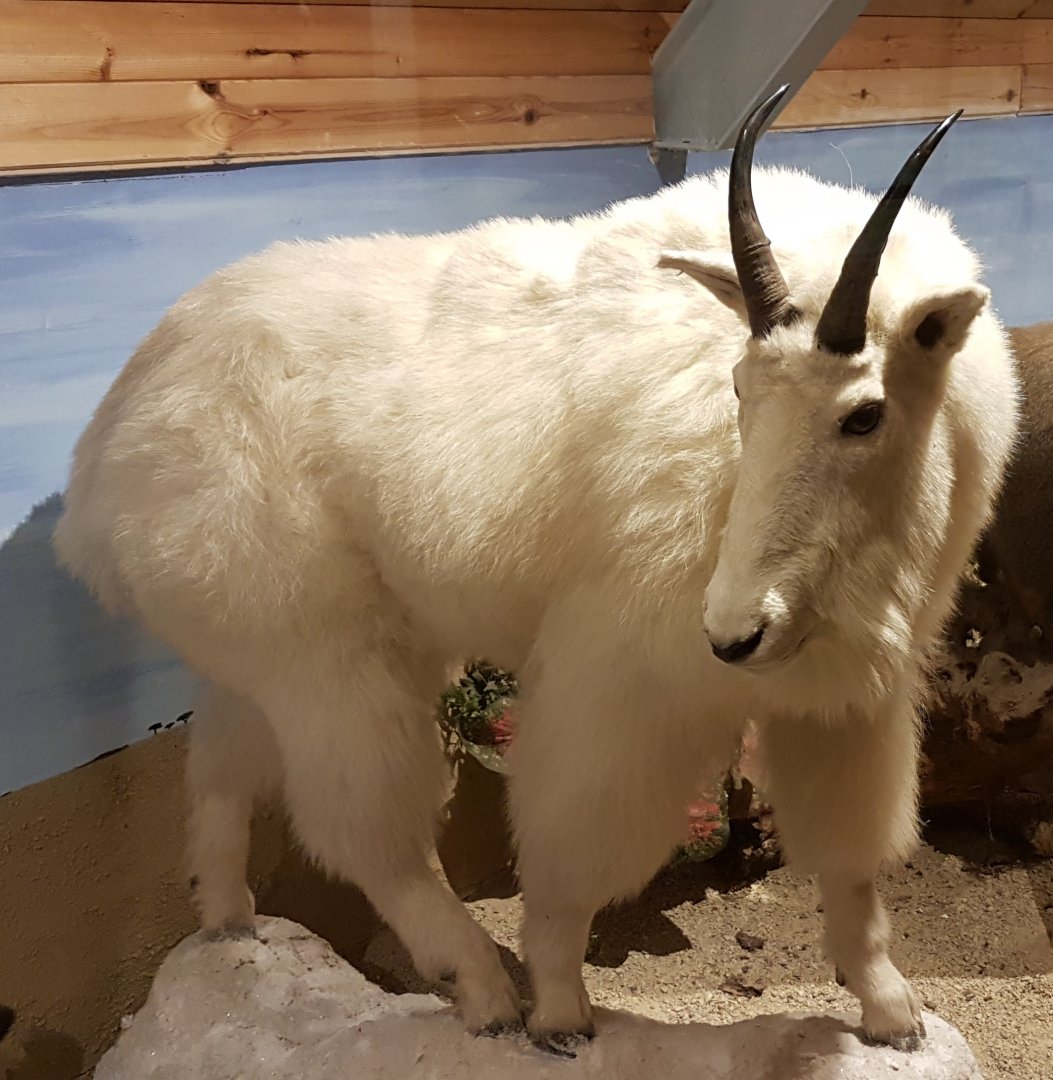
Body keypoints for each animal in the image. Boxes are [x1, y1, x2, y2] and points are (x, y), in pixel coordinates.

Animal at [53, 88, 1018, 1052]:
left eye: (863, 414)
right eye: (740, 390)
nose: (734, 632)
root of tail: (107, 448)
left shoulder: (848, 700)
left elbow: (851, 862)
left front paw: (890, 1013)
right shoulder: (621, 684)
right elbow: (569, 854)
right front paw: (559, 1012)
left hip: (275, 657)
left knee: (220, 777)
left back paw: (228, 926)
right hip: (327, 662)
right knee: (368, 834)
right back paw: (482, 991)